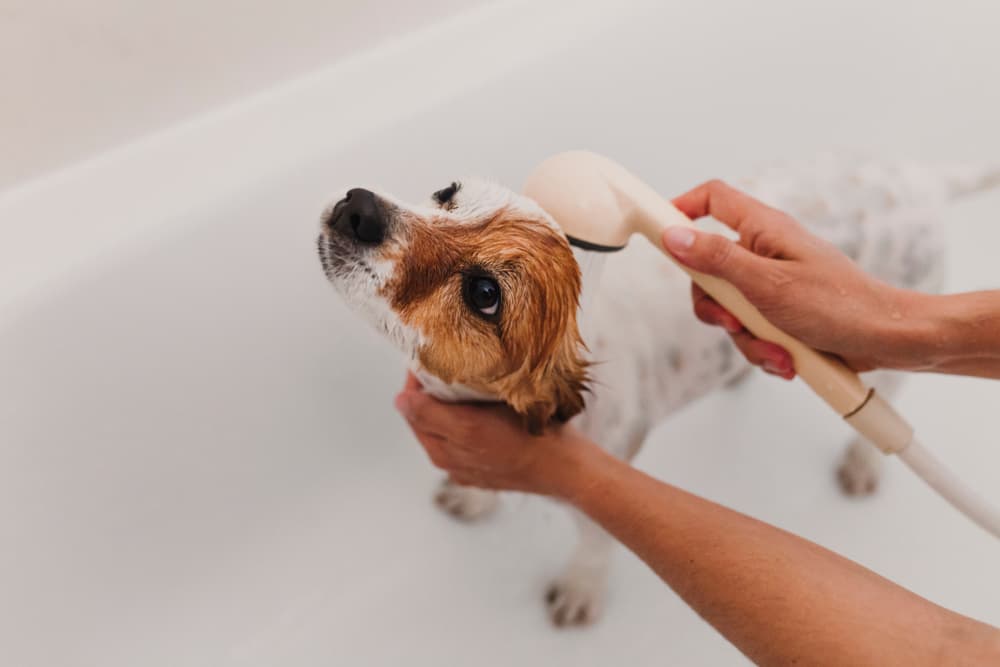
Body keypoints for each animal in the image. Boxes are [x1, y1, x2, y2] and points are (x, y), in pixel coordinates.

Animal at [316, 155, 996, 628]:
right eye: (447, 194)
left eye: (484, 294)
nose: (361, 206)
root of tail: (920, 177)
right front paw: (474, 497)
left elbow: (594, 544)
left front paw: (580, 592)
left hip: (891, 345)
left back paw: (861, 464)